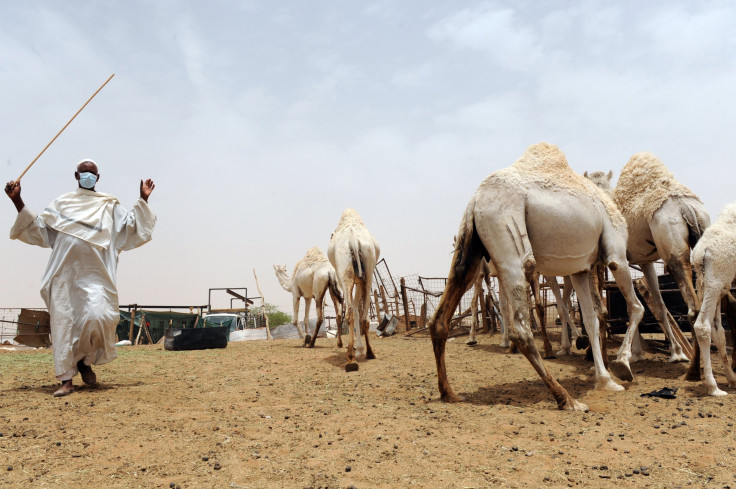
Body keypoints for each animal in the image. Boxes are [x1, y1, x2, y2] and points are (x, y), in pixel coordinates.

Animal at [330, 206, 382, 370]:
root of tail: (353, 240)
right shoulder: (361, 279)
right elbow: (358, 310)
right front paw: (359, 348)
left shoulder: (347, 279)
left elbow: (353, 308)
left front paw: (356, 348)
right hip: (369, 273)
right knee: (364, 317)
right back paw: (369, 353)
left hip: (346, 275)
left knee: (350, 313)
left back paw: (351, 358)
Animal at [426, 143, 644, 410]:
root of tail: (475, 201)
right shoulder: (616, 255)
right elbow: (636, 308)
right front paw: (622, 365)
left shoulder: (580, 270)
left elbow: (592, 320)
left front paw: (604, 380)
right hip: (507, 232)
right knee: (521, 325)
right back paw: (566, 399)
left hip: (469, 249)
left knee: (441, 316)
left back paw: (449, 393)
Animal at [600, 152, 712, 382]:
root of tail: (687, 208)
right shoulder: (646, 261)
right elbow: (658, 305)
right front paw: (675, 353)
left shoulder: (620, 259)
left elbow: (630, 305)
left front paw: (627, 357)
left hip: (673, 249)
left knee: (694, 308)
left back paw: (693, 371)